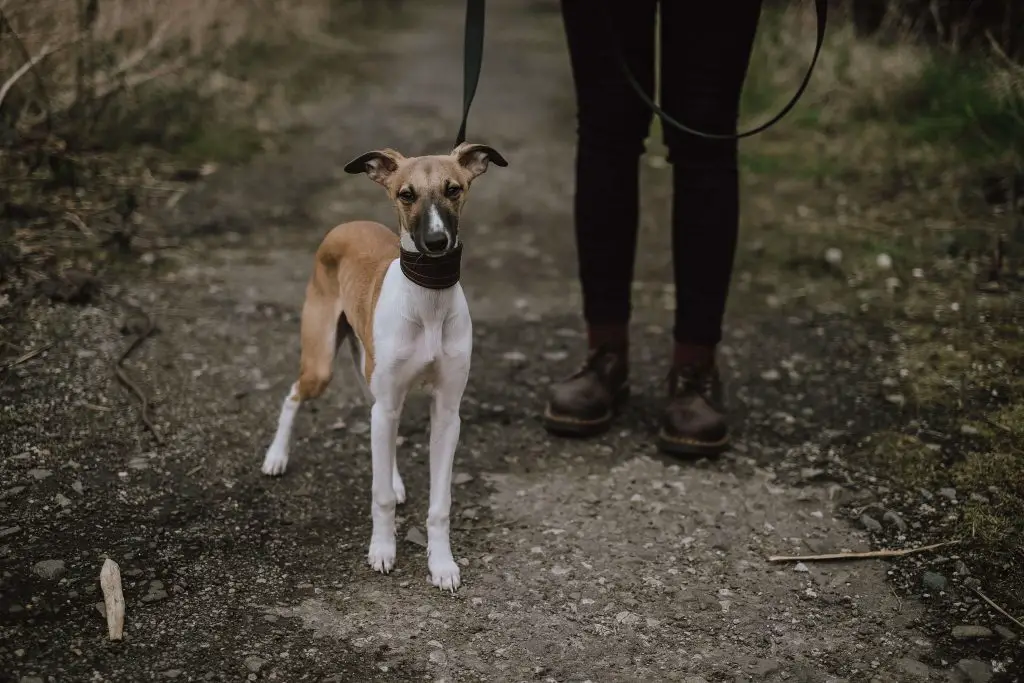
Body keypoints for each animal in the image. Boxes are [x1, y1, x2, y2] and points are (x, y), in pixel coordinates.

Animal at [262, 141, 505, 589]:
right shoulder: (388, 400)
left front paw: (442, 564)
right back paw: (276, 456)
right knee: (294, 394)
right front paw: (382, 550)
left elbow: (440, 503)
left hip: (374, 381)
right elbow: (380, 496)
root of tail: (347, 223)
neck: (428, 299)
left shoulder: (447, 414)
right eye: (406, 194)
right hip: (322, 364)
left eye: (454, 189)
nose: (436, 242)